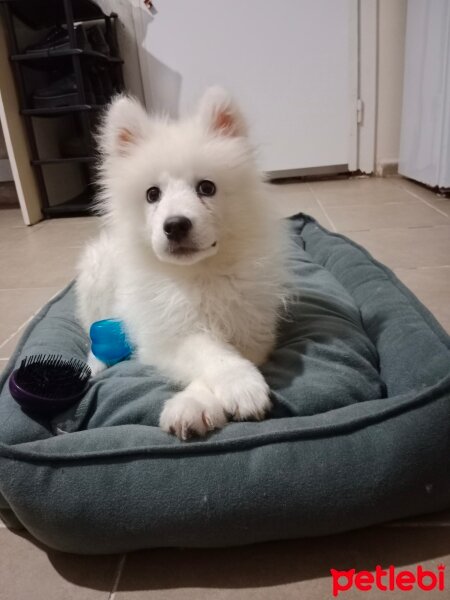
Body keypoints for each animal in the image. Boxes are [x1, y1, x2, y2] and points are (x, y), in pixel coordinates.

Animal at [76, 86, 288, 438]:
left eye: (207, 187)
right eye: (152, 195)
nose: (175, 225)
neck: (198, 274)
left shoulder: (252, 330)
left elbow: (222, 352)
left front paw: (198, 403)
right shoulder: (162, 333)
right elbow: (206, 348)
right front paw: (238, 386)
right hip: (96, 276)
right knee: (93, 337)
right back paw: (95, 365)